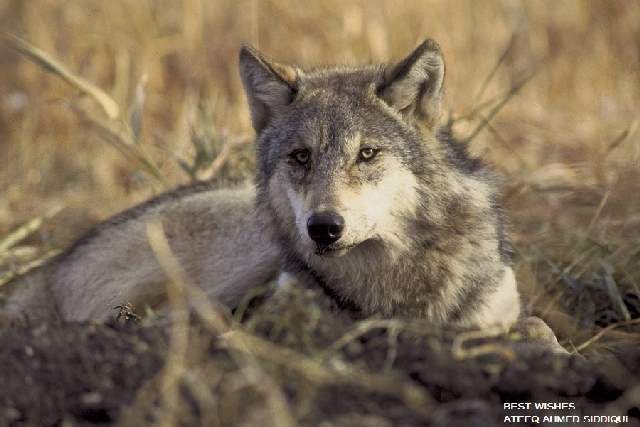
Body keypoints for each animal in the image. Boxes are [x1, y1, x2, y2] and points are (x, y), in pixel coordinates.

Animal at [3, 38, 524, 332]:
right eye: (301, 157)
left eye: (367, 154)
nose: (324, 228)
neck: (392, 285)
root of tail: (51, 267)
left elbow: (531, 327)